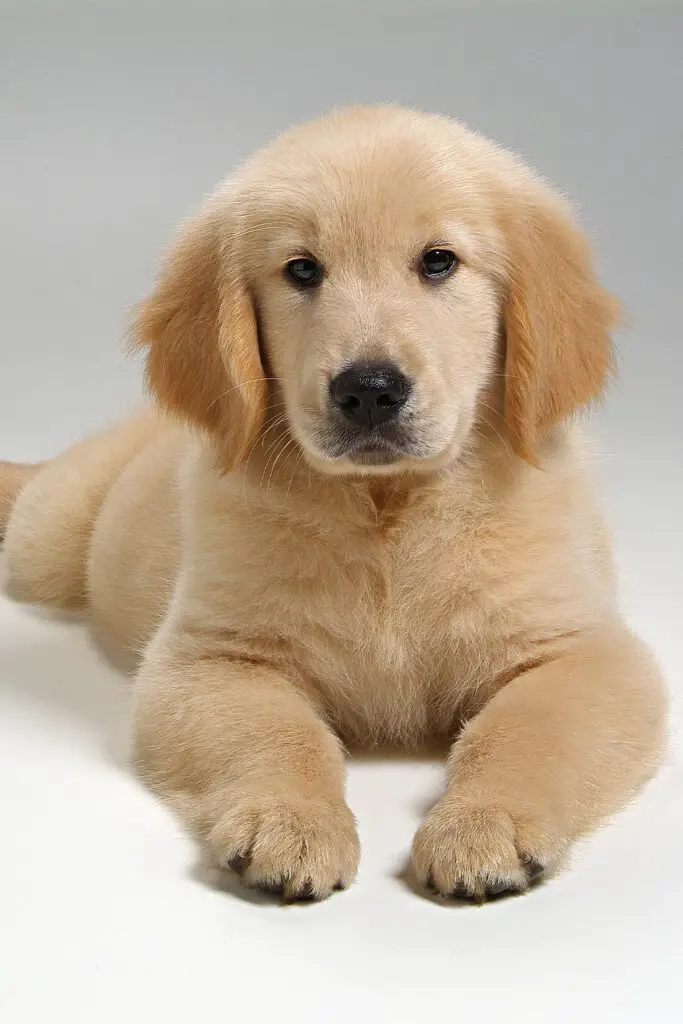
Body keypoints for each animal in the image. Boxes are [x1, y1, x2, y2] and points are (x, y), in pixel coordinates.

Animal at [0, 103, 667, 905]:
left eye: (438, 262)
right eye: (301, 270)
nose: (369, 390)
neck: (387, 508)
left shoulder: (584, 651)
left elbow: (525, 731)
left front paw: (486, 822)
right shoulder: (211, 657)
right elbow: (277, 734)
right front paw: (289, 823)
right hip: (50, 534)